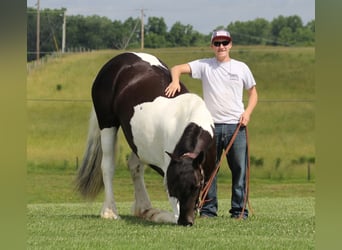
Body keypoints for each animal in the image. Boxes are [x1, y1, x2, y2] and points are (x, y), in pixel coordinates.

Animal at [76, 51, 216, 226]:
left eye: (196, 186)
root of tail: (118, 60)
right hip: (107, 123)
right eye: (172, 187)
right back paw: (110, 211)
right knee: (107, 166)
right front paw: (158, 215)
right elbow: (173, 215)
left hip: (136, 142)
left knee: (135, 167)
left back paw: (144, 208)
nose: (185, 221)